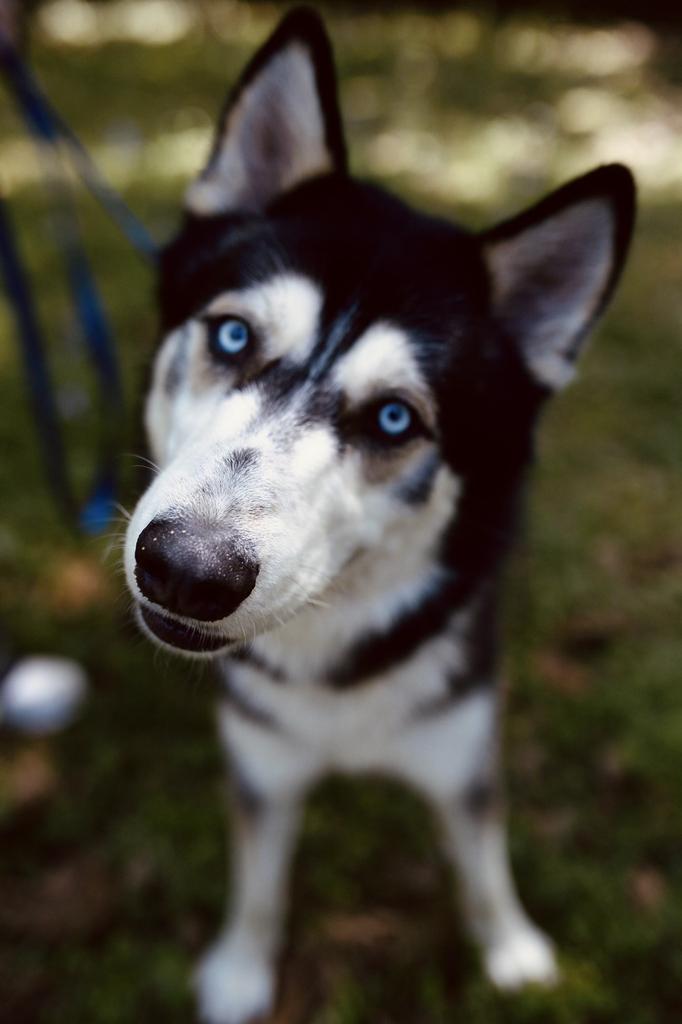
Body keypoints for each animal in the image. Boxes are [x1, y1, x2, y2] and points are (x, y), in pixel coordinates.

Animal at [123, 9, 635, 1023]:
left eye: (395, 418)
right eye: (232, 334)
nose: (186, 570)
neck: (335, 673)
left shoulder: (462, 743)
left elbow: (481, 862)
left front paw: (511, 951)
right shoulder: (263, 762)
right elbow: (260, 883)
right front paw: (241, 972)